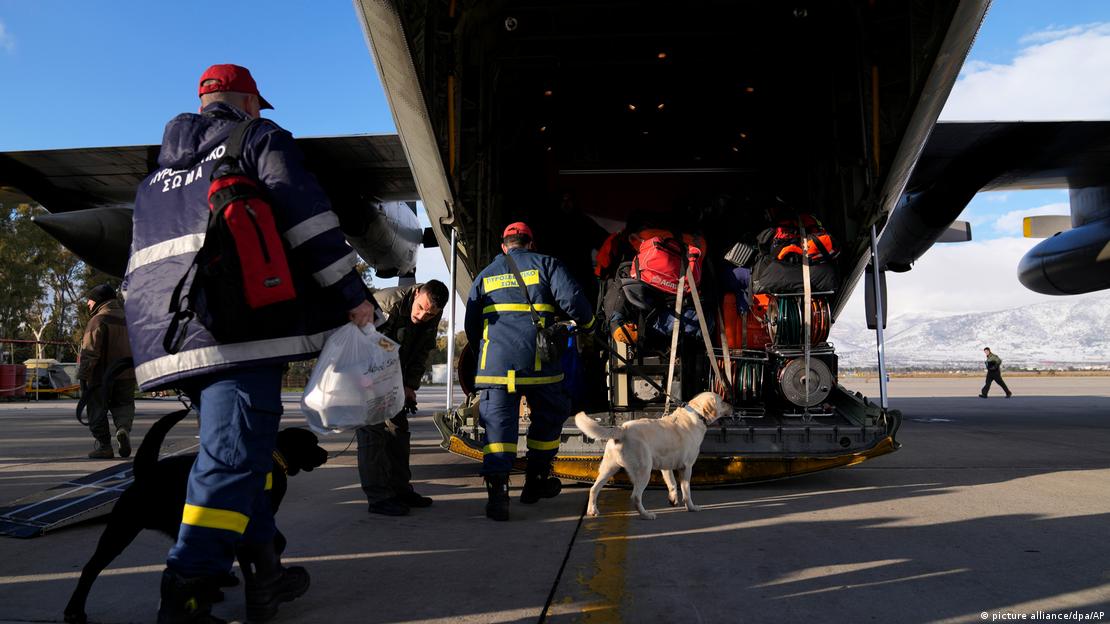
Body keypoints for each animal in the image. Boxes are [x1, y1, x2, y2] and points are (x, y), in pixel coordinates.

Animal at [64, 408, 326, 621]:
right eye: (312, 443)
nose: (324, 453)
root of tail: (146, 471)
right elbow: (274, 541)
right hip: (120, 529)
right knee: (90, 569)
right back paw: (75, 610)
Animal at [577, 390, 732, 517]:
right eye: (722, 401)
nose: (733, 406)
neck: (697, 414)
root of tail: (622, 429)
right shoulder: (686, 467)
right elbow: (686, 490)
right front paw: (691, 507)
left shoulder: (666, 467)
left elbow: (672, 484)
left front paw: (673, 500)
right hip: (644, 470)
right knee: (635, 496)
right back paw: (646, 515)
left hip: (608, 468)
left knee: (593, 489)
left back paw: (592, 510)